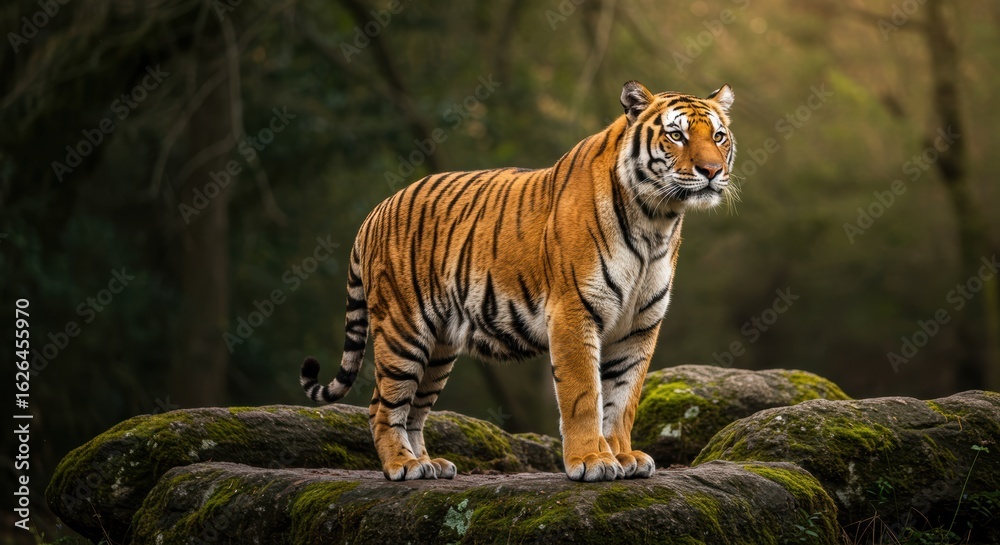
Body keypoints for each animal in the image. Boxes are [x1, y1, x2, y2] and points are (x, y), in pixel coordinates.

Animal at [300, 80, 736, 482]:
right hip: (403, 330)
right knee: (382, 405)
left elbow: (623, 399)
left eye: (718, 136)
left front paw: (623, 455)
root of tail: (376, 210)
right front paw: (592, 460)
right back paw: (402, 466)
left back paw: (428, 464)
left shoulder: (639, 326)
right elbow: (584, 395)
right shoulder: (574, 311)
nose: (712, 171)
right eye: (676, 135)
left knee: (414, 410)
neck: (656, 219)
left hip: (439, 347)